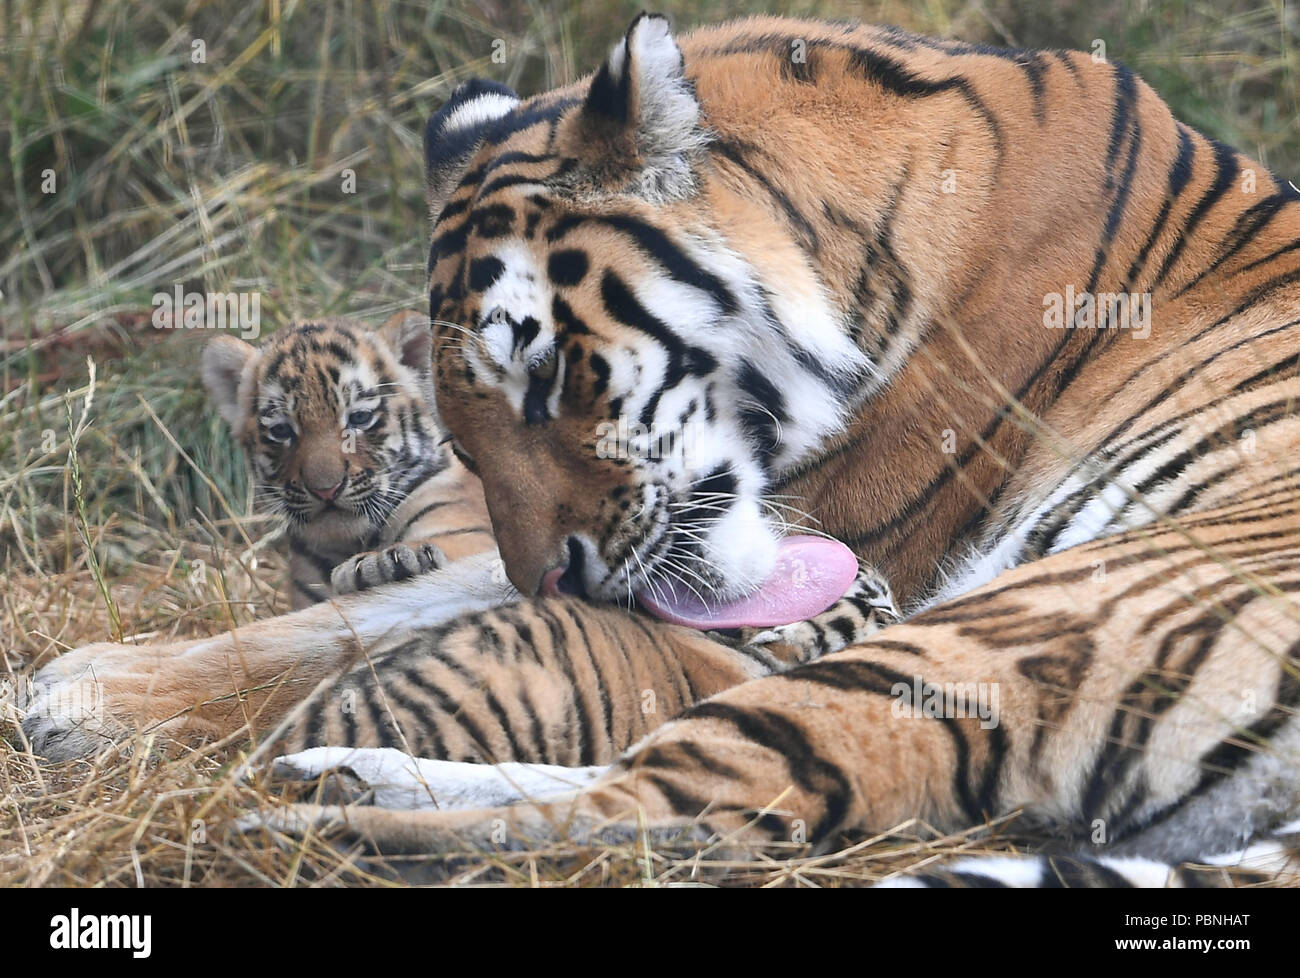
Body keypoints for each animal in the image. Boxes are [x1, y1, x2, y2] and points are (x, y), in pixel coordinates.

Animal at [17, 13, 1300, 884]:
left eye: (547, 379)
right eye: (462, 427)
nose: (556, 582)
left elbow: (376, 612)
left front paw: (75, 695)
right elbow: (366, 611)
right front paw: (80, 689)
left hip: (1009, 620)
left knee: (662, 819)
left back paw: (311, 822)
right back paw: (341, 771)